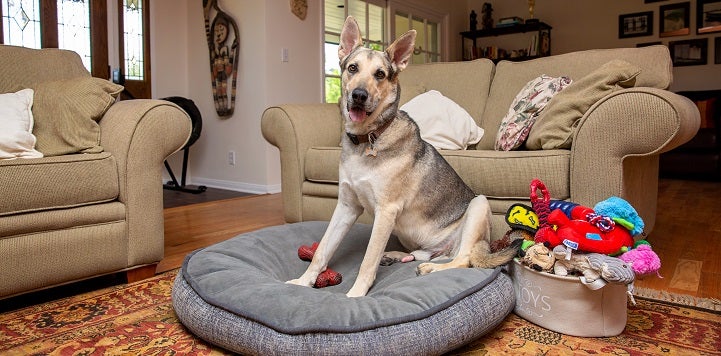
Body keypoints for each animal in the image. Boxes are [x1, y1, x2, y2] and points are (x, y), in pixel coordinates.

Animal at [286, 16, 516, 298]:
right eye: (352, 68)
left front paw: (355, 295)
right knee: (421, 253)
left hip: (478, 205)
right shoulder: (346, 207)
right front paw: (303, 282)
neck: (368, 139)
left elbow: (367, 260)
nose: (358, 96)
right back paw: (396, 256)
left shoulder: (386, 212)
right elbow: (322, 250)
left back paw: (431, 268)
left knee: (464, 259)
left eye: (380, 74)